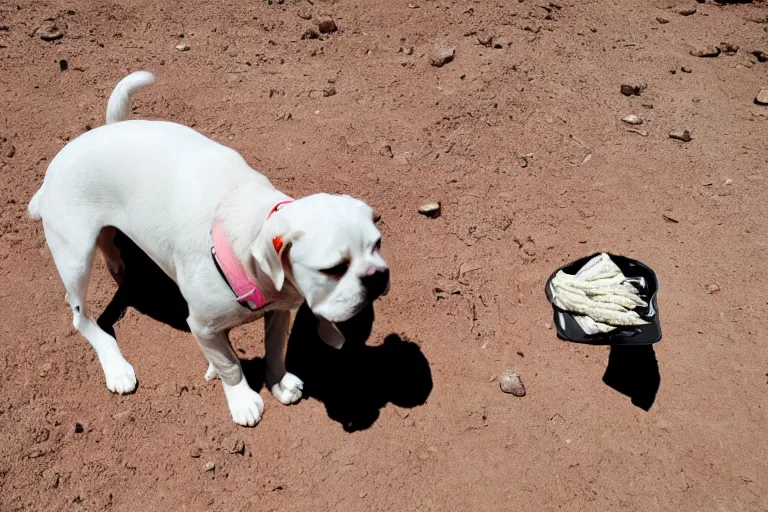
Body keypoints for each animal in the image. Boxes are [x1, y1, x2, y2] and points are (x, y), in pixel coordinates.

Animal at [28, 70, 390, 426]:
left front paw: (278, 382)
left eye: (377, 243)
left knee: (113, 256)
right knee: (81, 318)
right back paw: (116, 367)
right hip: (75, 259)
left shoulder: (277, 312)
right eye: (333, 269)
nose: (377, 276)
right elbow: (229, 364)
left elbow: (275, 349)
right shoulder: (202, 327)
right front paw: (242, 400)